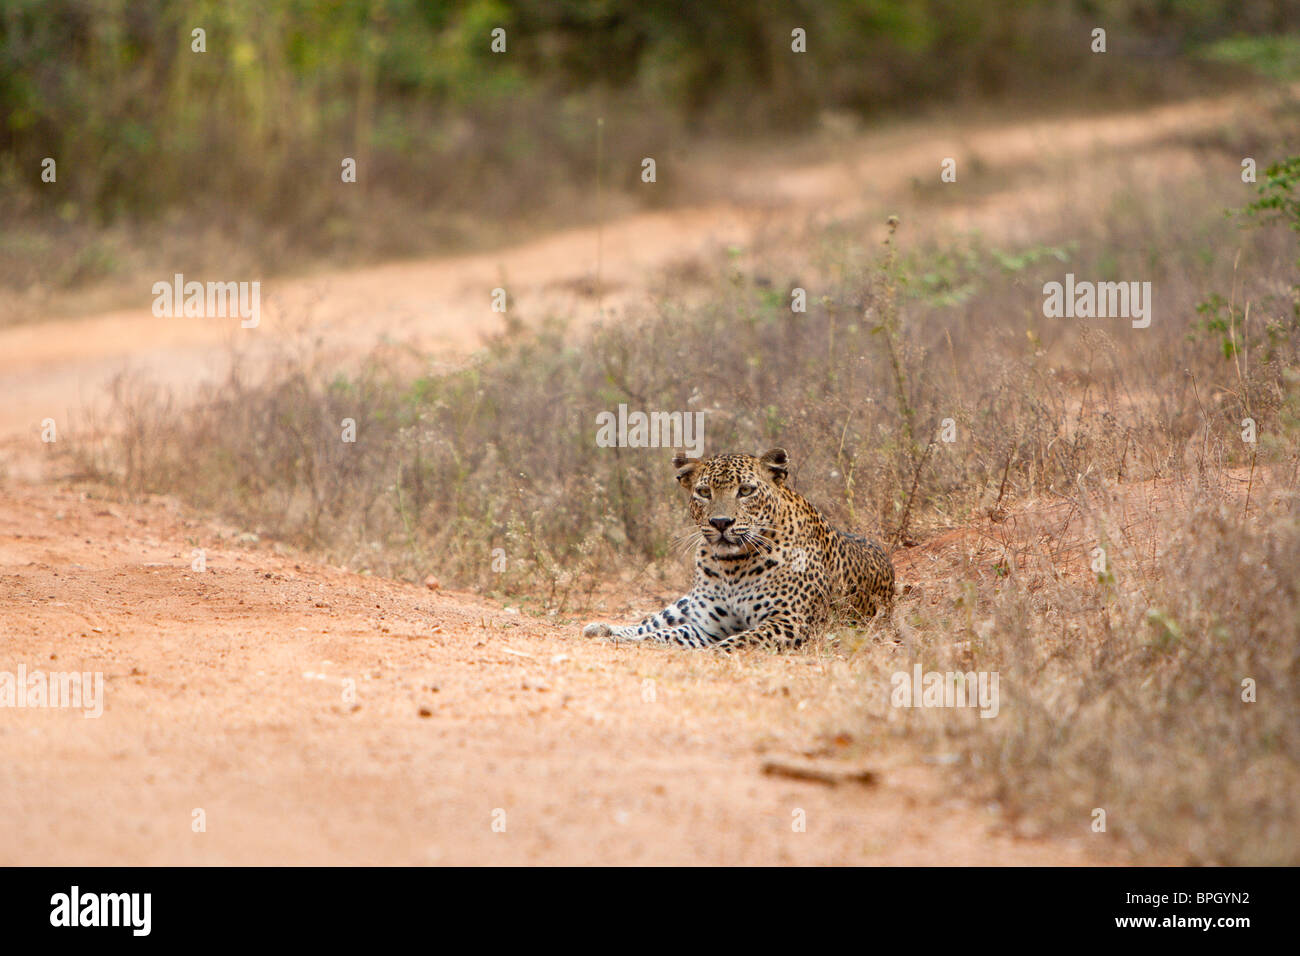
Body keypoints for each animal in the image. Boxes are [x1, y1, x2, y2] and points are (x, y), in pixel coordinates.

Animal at [582, 447, 894, 650]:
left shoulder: (789, 621)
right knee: (652, 621)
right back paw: (602, 629)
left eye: (745, 491)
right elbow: (664, 633)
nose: (721, 522)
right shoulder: (705, 627)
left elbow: (740, 639)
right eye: (703, 492)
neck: (732, 566)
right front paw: (626, 638)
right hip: (684, 603)